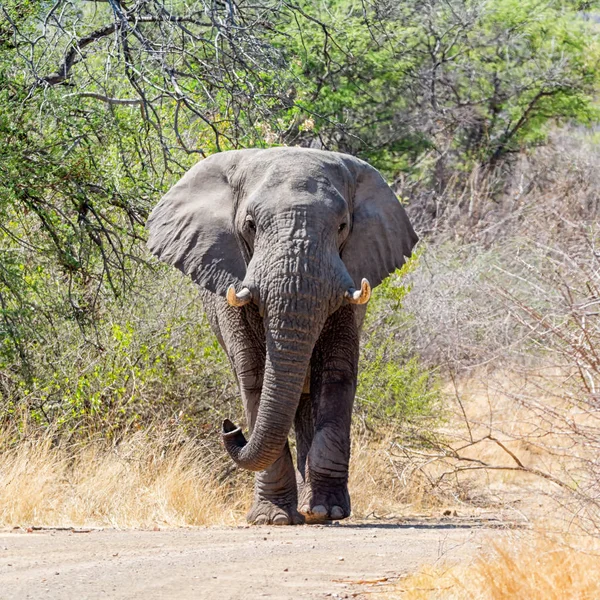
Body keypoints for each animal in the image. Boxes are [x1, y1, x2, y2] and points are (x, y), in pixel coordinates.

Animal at [145, 149, 418, 524]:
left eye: (342, 227)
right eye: (250, 225)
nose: (229, 427)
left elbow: (335, 375)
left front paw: (327, 511)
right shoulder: (230, 279)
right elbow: (256, 377)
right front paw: (272, 518)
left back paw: (311, 510)